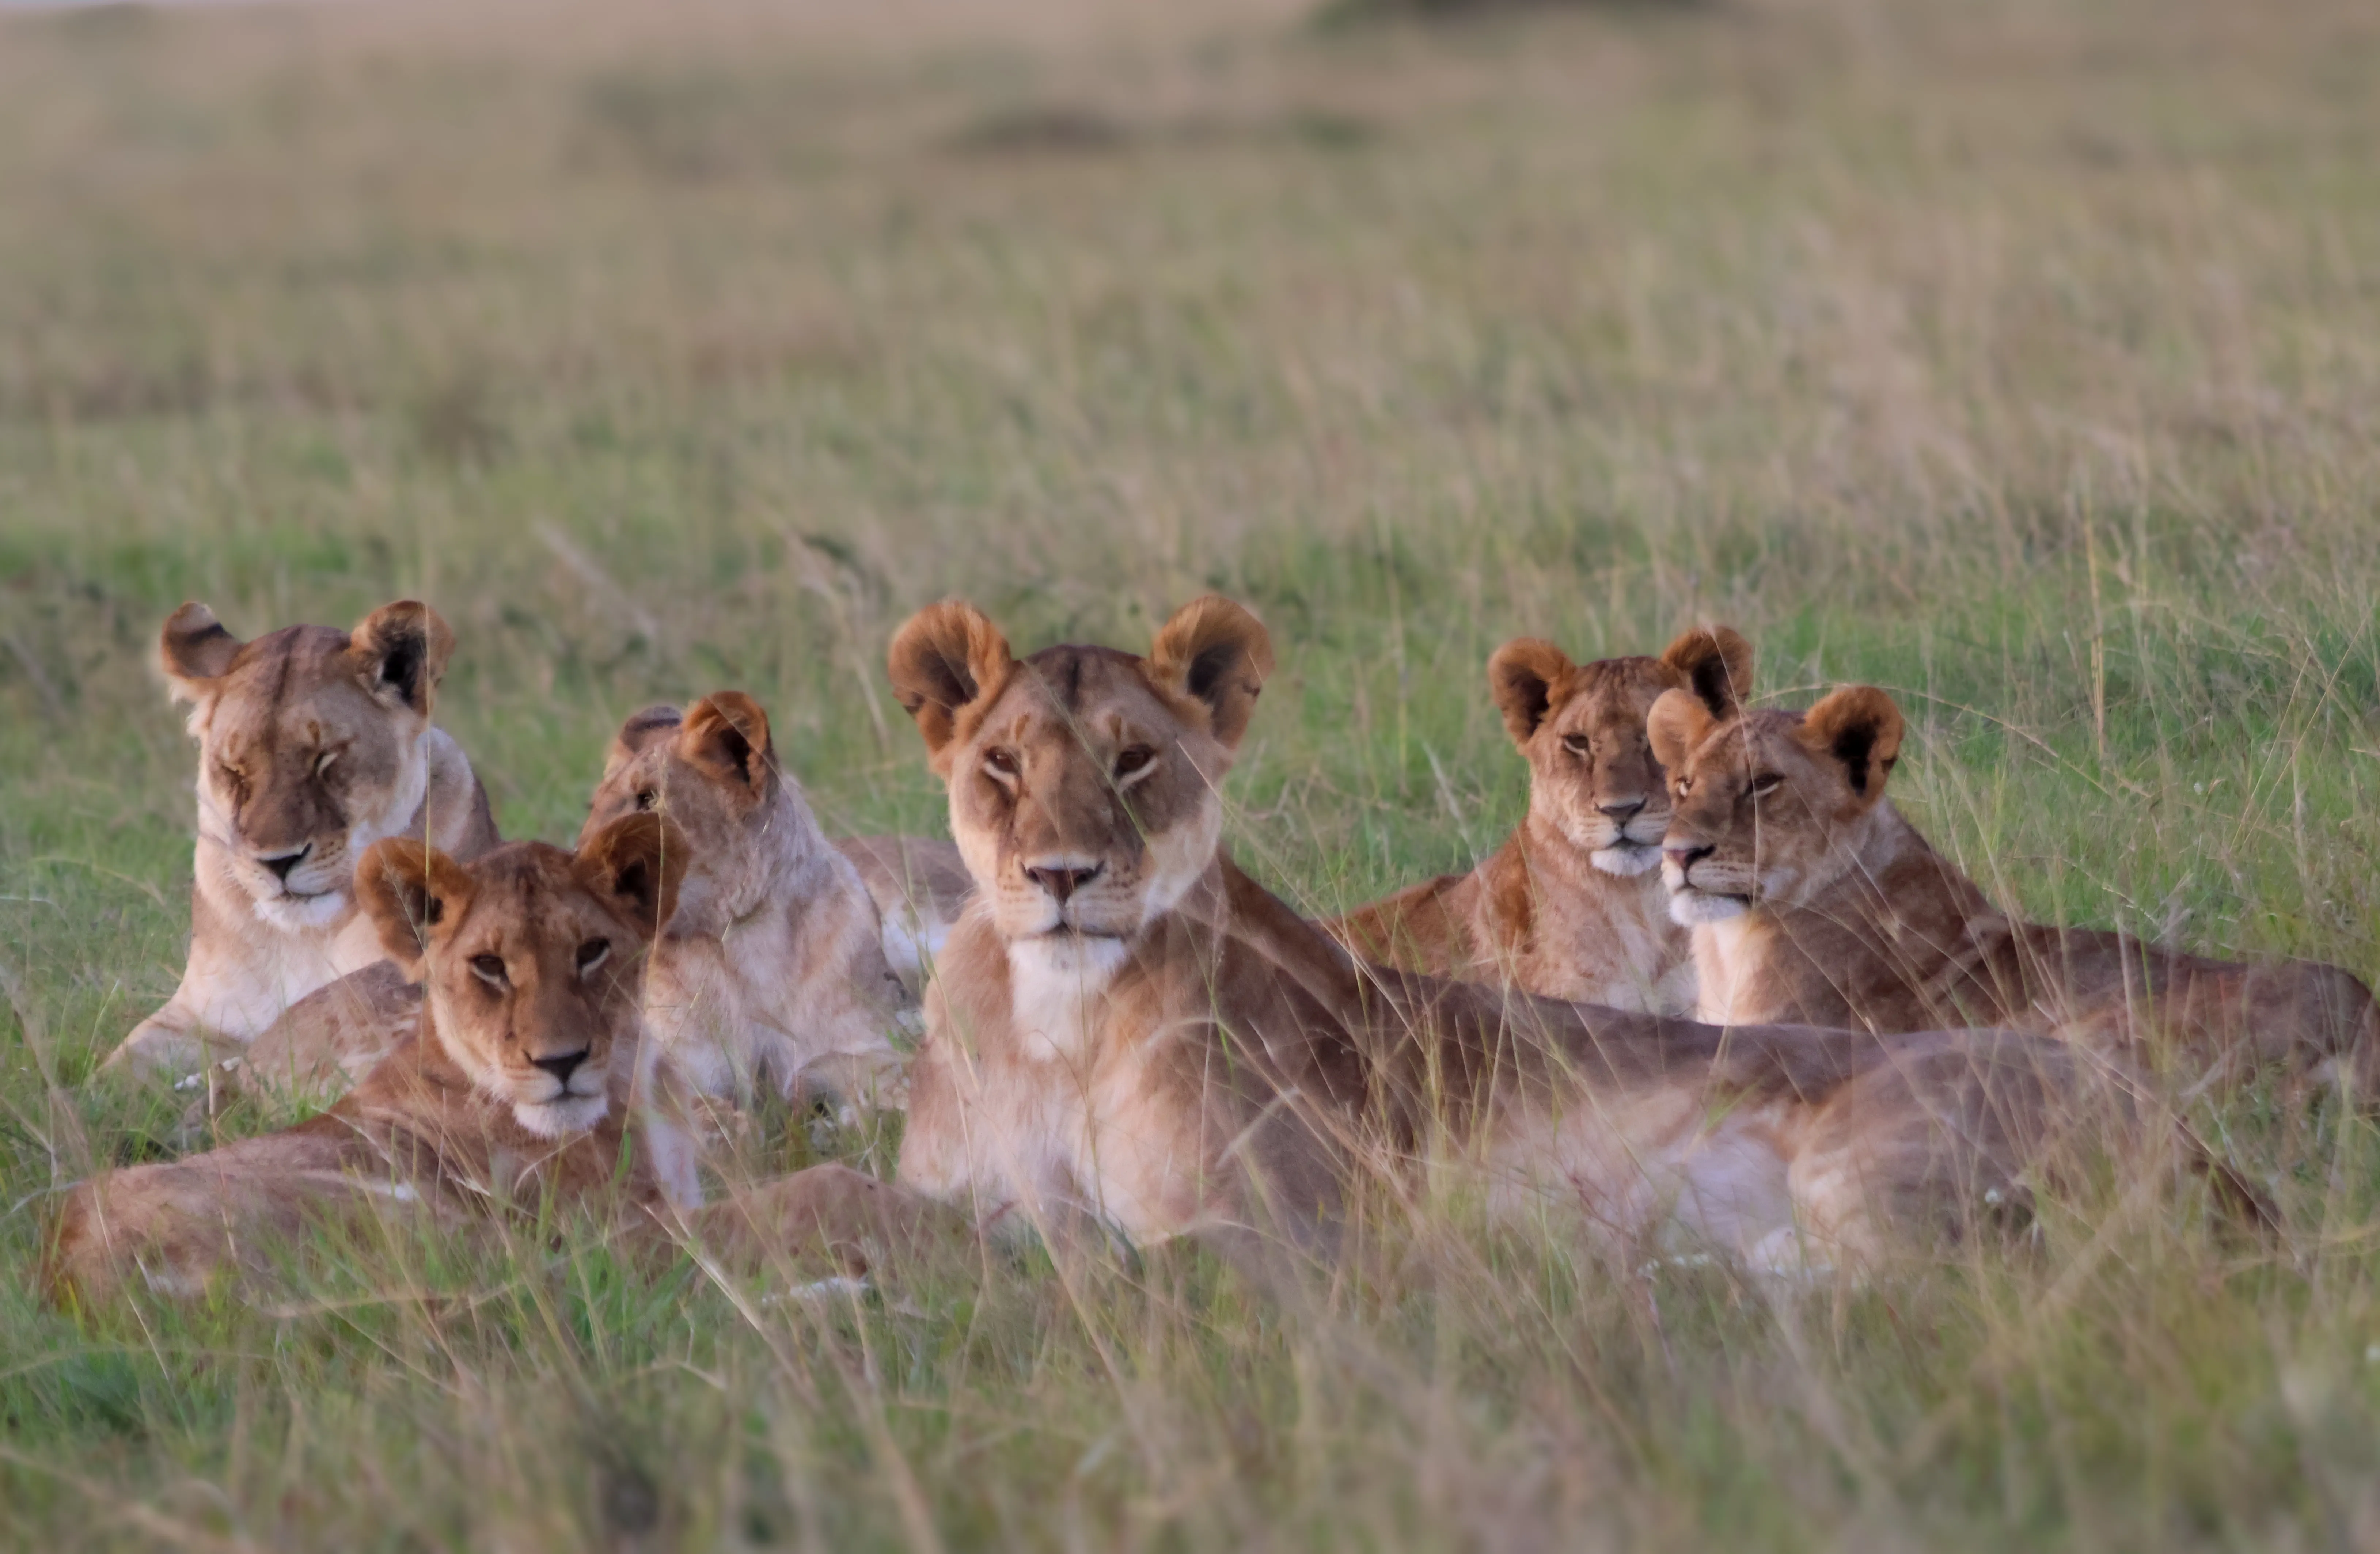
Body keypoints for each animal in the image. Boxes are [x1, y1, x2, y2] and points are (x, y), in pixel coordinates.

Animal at [102, 600, 500, 1087]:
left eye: (325, 760)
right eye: (233, 770)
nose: (277, 863)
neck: (301, 940)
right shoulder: (195, 1018)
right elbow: (108, 1074)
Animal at [577, 693, 970, 1112]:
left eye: (649, 799)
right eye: (594, 806)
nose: (571, 864)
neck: (745, 938)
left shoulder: (864, 1037)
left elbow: (894, 1072)